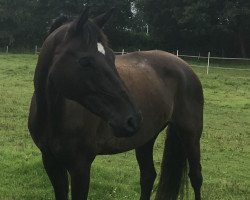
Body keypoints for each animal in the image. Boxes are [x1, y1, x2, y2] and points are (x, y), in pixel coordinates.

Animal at [27, 8, 203, 200]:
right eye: (85, 61)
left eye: (112, 57)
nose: (132, 119)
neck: (54, 115)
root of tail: (184, 66)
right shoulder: (50, 162)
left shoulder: (80, 166)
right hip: (146, 137)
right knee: (148, 175)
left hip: (191, 135)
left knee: (196, 177)